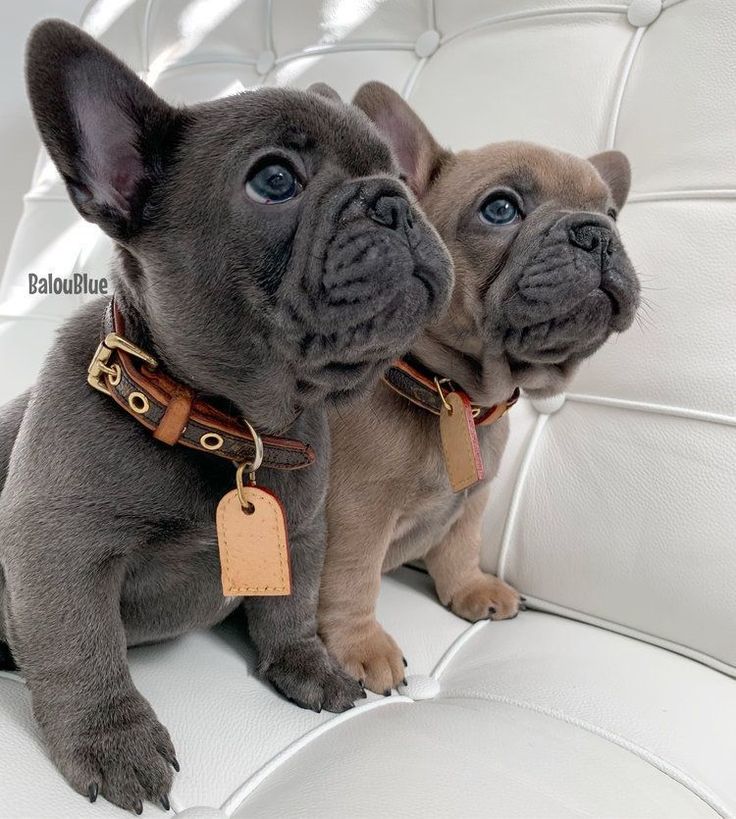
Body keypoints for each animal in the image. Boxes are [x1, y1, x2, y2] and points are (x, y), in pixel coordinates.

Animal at [318, 83, 640, 696]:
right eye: (500, 208)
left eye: (613, 214)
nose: (597, 232)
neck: (456, 397)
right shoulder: (356, 514)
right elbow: (351, 580)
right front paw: (361, 646)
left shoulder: (475, 499)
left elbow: (460, 547)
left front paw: (470, 590)